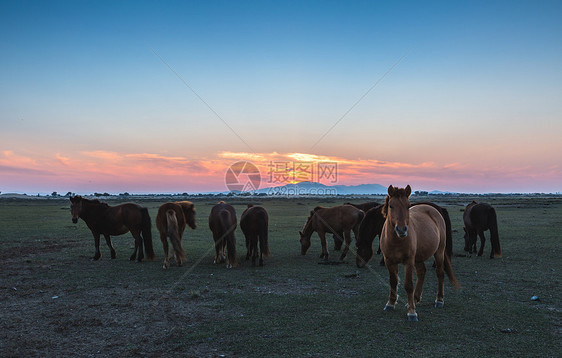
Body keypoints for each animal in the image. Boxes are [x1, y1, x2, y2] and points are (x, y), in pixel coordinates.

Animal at [378, 186, 458, 324]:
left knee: (440, 273)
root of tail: (434, 210)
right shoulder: (389, 261)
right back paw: (415, 299)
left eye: (408, 206)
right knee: (422, 272)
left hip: (439, 252)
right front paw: (390, 304)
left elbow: (409, 285)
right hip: (419, 258)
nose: (401, 229)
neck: (396, 240)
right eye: (391, 206)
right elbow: (393, 282)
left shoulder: (409, 261)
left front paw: (412, 312)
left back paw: (439, 300)